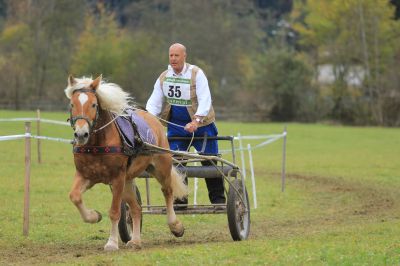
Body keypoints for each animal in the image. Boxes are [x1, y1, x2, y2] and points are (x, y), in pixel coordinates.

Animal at [64, 75, 188, 251]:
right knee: (136, 209)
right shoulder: (86, 176)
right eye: (72, 104)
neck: (97, 144)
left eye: (94, 104)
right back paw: (135, 240)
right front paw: (94, 216)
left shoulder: (117, 179)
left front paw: (111, 243)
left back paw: (175, 225)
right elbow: (74, 196)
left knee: (167, 191)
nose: (81, 134)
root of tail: (151, 118)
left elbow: (114, 211)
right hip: (128, 180)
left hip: (160, 168)